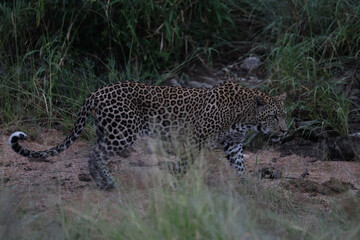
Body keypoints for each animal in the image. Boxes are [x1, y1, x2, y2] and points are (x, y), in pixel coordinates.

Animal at [8, 80, 286, 189]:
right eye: (274, 117)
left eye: (284, 115)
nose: (285, 130)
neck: (245, 117)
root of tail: (97, 91)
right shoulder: (195, 138)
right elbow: (183, 165)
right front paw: (174, 183)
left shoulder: (233, 145)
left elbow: (239, 166)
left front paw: (248, 187)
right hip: (123, 133)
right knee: (96, 153)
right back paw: (108, 183)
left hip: (106, 130)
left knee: (95, 153)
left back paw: (100, 181)